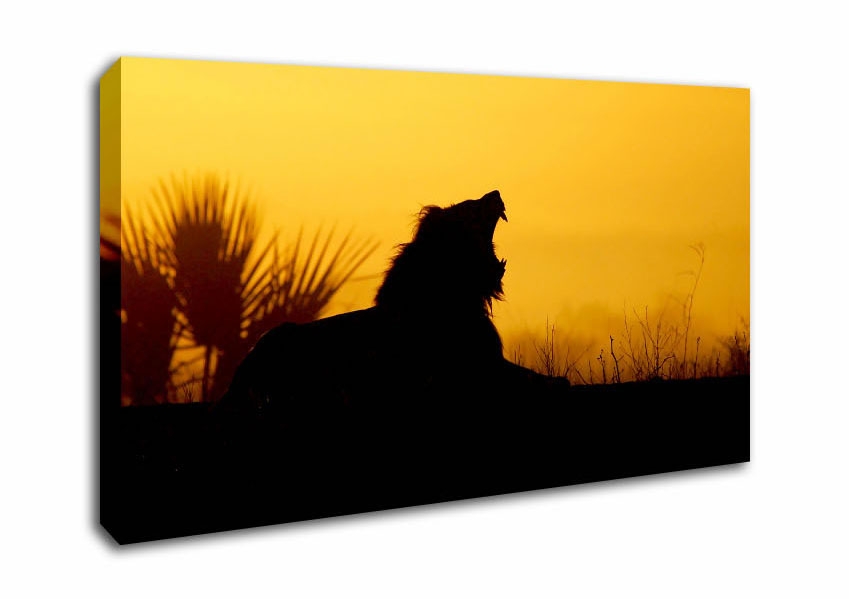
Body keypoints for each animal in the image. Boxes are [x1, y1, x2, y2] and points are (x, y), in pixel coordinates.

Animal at [219, 190, 567, 421]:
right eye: (471, 207)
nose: (495, 193)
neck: (460, 294)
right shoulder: (469, 372)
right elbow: (546, 383)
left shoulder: (489, 362)